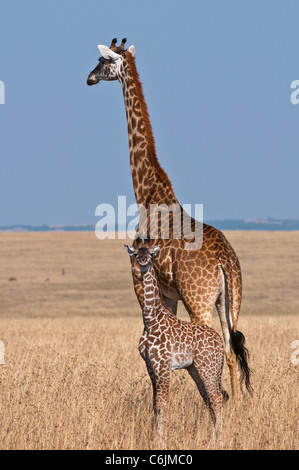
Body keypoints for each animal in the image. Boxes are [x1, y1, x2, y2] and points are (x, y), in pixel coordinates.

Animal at [87, 38, 253, 396]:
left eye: (103, 62)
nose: (89, 78)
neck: (148, 194)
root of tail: (226, 262)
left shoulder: (140, 280)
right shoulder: (169, 293)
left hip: (199, 300)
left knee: (217, 346)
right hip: (230, 301)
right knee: (232, 350)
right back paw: (236, 404)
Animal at [125, 239, 229, 440]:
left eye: (151, 254)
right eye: (135, 254)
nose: (143, 261)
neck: (150, 320)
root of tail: (220, 343)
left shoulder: (163, 365)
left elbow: (162, 404)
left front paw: (160, 439)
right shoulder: (150, 365)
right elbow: (155, 404)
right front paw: (155, 434)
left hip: (208, 366)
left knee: (216, 397)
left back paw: (219, 438)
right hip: (195, 368)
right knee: (208, 398)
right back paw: (213, 433)